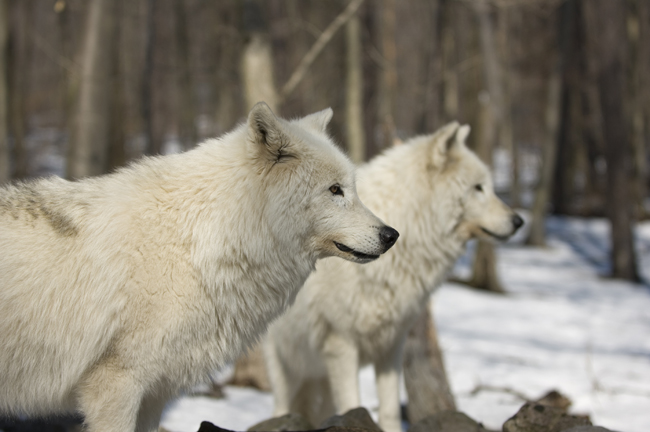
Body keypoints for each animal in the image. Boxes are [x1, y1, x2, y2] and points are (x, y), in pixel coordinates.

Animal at [0, 102, 398, 432]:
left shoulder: (153, 395)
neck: (200, 242)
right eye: (335, 190)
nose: (391, 234)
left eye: (352, 188)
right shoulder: (117, 385)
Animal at [264, 122, 523, 432]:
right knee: (280, 408)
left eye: (489, 187)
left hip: (318, 375)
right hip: (288, 366)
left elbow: (388, 411)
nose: (519, 221)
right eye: (478, 188)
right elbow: (352, 405)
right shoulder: (341, 344)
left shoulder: (391, 346)